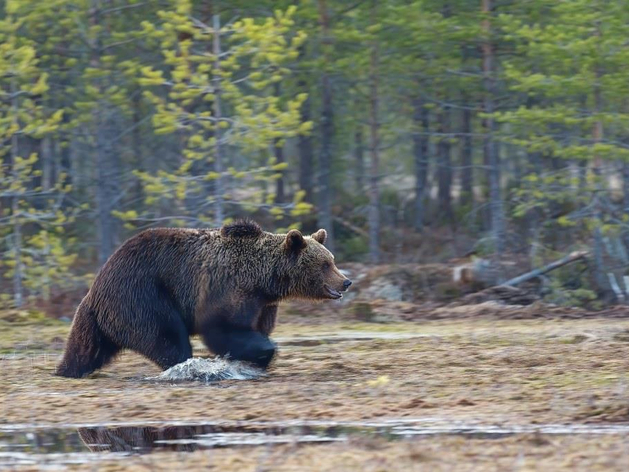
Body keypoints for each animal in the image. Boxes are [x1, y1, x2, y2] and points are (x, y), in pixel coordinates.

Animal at [55, 219, 350, 378]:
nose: (346, 281)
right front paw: (260, 351)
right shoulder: (226, 287)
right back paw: (184, 364)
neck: (265, 281)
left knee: (86, 348)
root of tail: (96, 285)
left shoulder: (263, 304)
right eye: (325, 264)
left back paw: (67, 369)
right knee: (166, 336)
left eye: (332, 260)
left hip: (103, 317)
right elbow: (222, 328)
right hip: (142, 295)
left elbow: (256, 327)